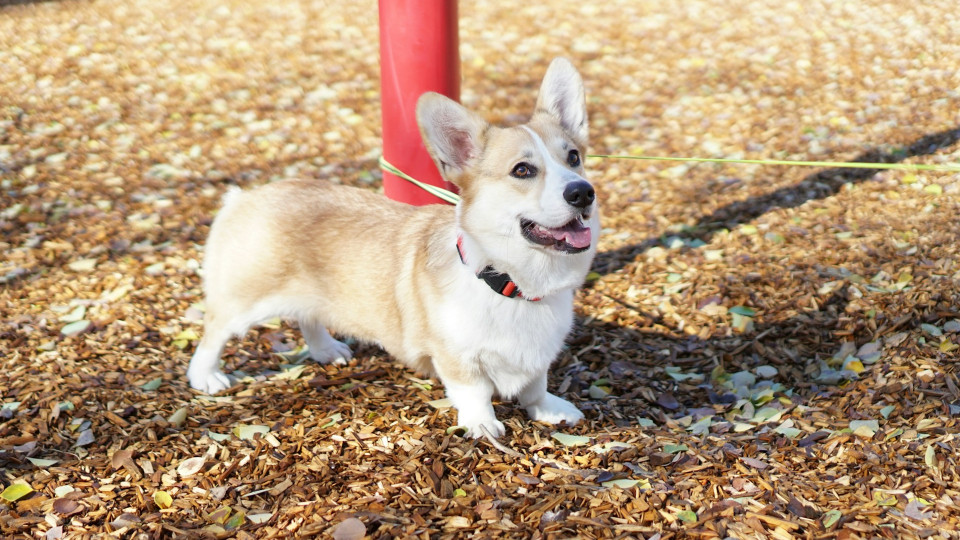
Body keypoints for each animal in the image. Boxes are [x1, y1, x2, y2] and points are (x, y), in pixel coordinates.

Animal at [184, 58, 596, 438]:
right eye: (522, 170)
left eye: (574, 157)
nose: (583, 192)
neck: (511, 284)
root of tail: (243, 197)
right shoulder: (455, 358)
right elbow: (474, 391)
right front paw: (482, 425)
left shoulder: (537, 359)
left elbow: (535, 387)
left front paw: (549, 409)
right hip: (245, 300)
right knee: (214, 330)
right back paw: (206, 376)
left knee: (307, 315)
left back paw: (325, 349)